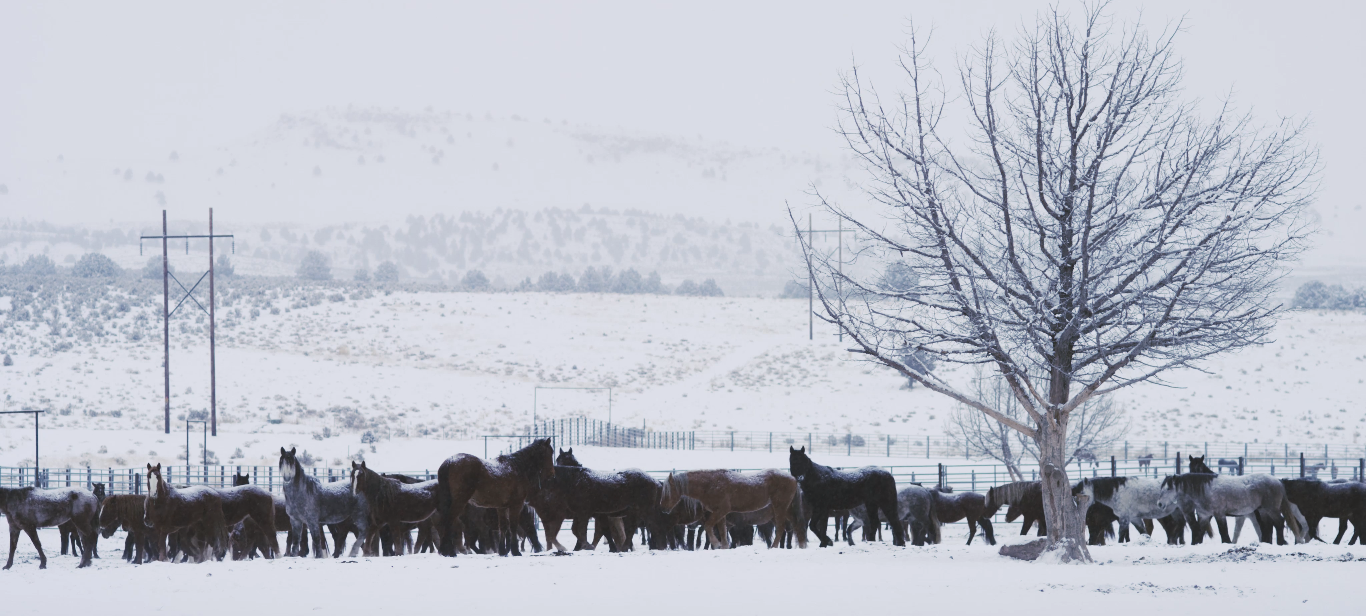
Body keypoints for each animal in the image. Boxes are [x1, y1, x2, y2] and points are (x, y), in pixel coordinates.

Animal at [661, 469, 797, 551]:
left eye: (668, 491)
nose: (663, 509)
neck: (710, 484)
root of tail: (793, 479)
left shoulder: (721, 510)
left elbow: (708, 526)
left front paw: (716, 544)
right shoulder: (720, 514)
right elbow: (722, 530)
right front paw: (724, 546)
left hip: (780, 508)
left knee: (781, 528)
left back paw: (774, 547)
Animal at [1158, 478, 1305, 546]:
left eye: (1169, 488)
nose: (1159, 504)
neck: (1206, 489)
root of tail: (1278, 482)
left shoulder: (1219, 514)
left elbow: (1223, 531)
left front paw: (1227, 543)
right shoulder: (1204, 515)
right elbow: (1199, 531)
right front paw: (1196, 544)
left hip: (1271, 509)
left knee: (1279, 522)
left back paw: (1280, 542)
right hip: (1263, 510)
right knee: (1268, 526)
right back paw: (1266, 542)